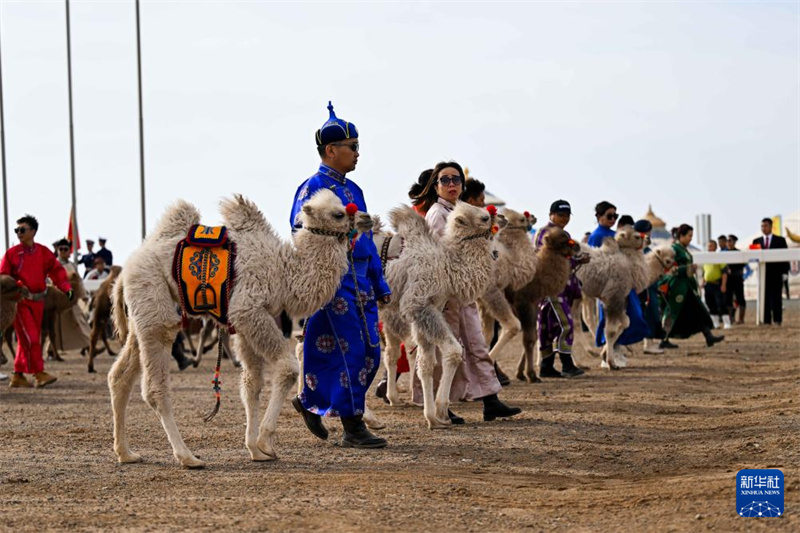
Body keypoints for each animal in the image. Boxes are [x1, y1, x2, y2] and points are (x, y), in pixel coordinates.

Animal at [108, 188, 374, 466]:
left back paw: (126, 453)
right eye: (338, 213)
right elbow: (287, 369)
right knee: (154, 386)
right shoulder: (249, 310)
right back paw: (188, 457)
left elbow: (251, 384)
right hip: (155, 308)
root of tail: (124, 272)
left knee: (120, 376)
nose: (367, 218)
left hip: (141, 317)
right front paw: (266, 442)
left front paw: (255, 449)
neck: (284, 271)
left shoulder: (246, 325)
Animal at [378, 202, 496, 426]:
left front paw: (433, 416)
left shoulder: (429, 308)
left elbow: (425, 363)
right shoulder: (418, 304)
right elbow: (453, 351)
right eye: (484, 217)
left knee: (390, 352)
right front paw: (440, 412)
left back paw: (391, 399)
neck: (446, 265)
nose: (500, 217)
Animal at [512, 229, 580, 382]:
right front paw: (532, 375)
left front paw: (521, 374)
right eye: (563, 241)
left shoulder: (533, 305)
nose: (577, 246)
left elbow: (531, 338)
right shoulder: (524, 304)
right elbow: (529, 340)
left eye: (569, 237)